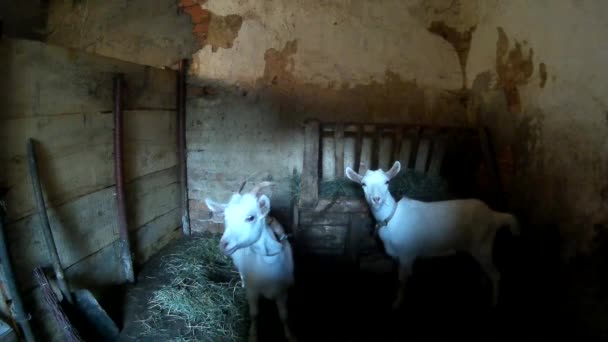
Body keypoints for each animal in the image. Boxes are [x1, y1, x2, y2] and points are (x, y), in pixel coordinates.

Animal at [207, 182, 296, 342]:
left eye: (250, 217)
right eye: (225, 217)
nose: (223, 245)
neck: (268, 260)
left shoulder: (282, 290)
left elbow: (284, 316)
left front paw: (290, 336)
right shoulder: (253, 291)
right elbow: (254, 314)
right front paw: (253, 335)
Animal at [346, 162, 516, 308]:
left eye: (387, 182)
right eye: (363, 184)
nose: (376, 199)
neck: (392, 218)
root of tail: (494, 215)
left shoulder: (407, 254)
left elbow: (402, 280)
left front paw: (397, 303)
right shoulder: (397, 256)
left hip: (483, 245)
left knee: (495, 275)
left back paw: (494, 302)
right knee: (485, 270)